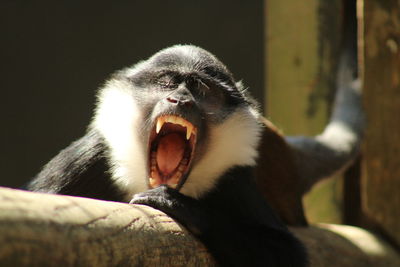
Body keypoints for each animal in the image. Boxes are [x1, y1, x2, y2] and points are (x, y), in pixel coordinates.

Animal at [28, 45, 308, 266]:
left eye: (200, 88)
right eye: (167, 82)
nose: (180, 99)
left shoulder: (234, 179)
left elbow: (287, 253)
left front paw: (178, 204)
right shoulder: (88, 157)